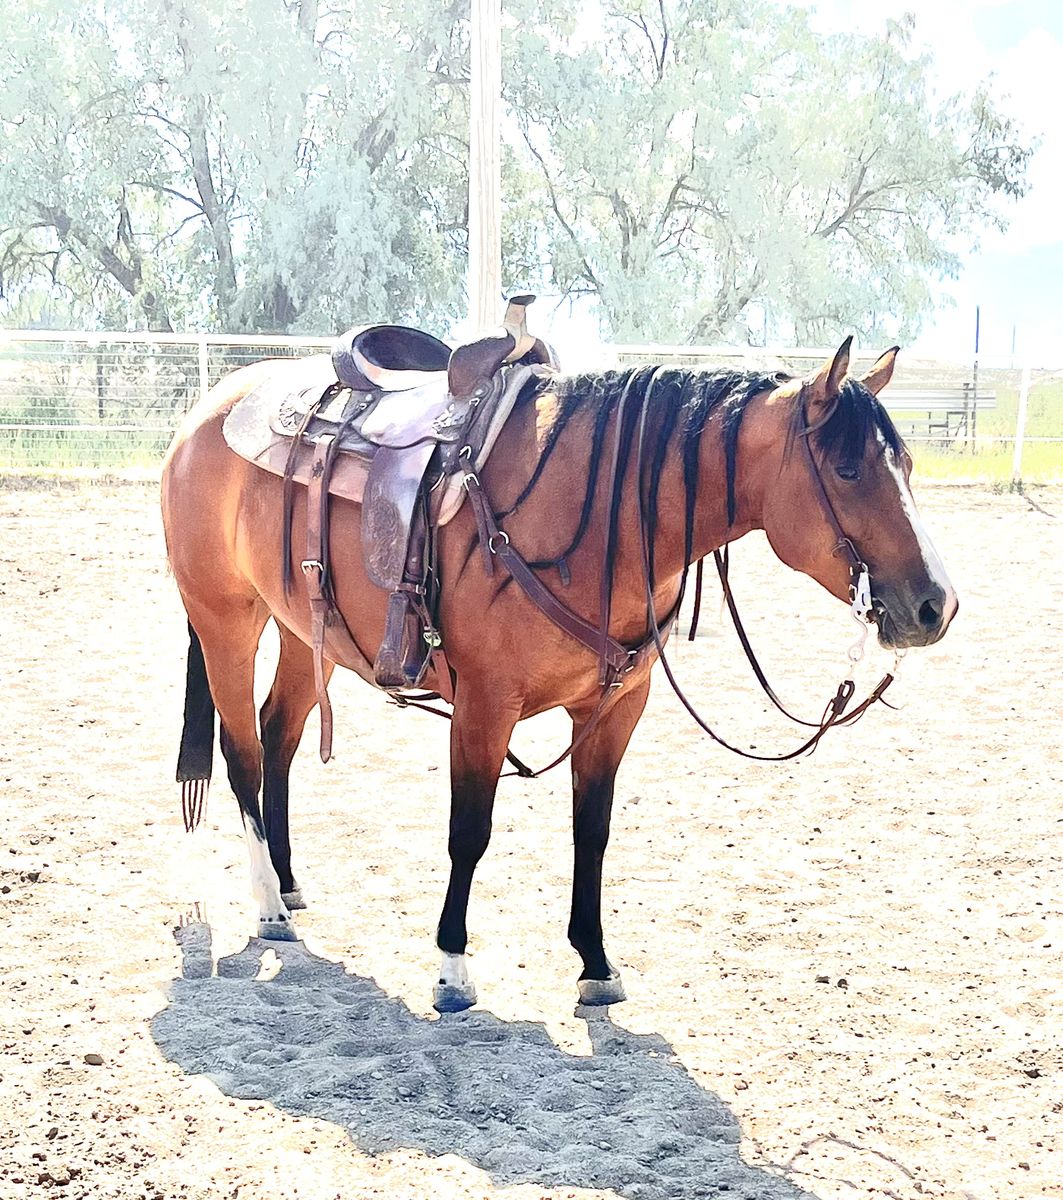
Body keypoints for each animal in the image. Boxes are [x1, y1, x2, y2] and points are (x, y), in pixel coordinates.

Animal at [160, 337, 957, 1010]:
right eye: (847, 470)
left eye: (910, 467)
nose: (935, 605)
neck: (597, 518)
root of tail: (208, 408)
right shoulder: (485, 705)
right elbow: (469, 831)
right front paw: (452, 968)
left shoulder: (615, 708)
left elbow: (592, 830)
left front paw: (596, 963)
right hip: (226, 618)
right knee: (243, 751)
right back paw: (268, 904)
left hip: (303, 630)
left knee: (279, 737)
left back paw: (288, 882)